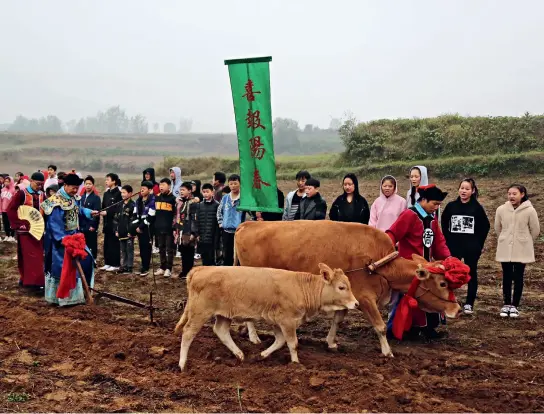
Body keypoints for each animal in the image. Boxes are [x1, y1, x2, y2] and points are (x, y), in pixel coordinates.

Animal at [174, 264, 360, 370]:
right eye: (342, 287)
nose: (356, 303)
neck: (301, 287)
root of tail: (201, 269)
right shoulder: (287, 321)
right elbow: (293, 344)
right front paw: (296, 365)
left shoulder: (277, 322)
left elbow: (280, 341)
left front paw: (262, 355)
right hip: (200, 311)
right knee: (188, 332)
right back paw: (182, 363)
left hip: (223, 314)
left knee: (221, 331)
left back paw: (239, 354)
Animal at [236, 222, 462, 358]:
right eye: (443, 283)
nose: (457, 309)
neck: (378, 263)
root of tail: (248, 224)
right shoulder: (365, 298)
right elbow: (380, 326)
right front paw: (387, 352)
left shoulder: (347, 297)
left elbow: (338, 319)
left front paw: (330, 342)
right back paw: (254, 337)